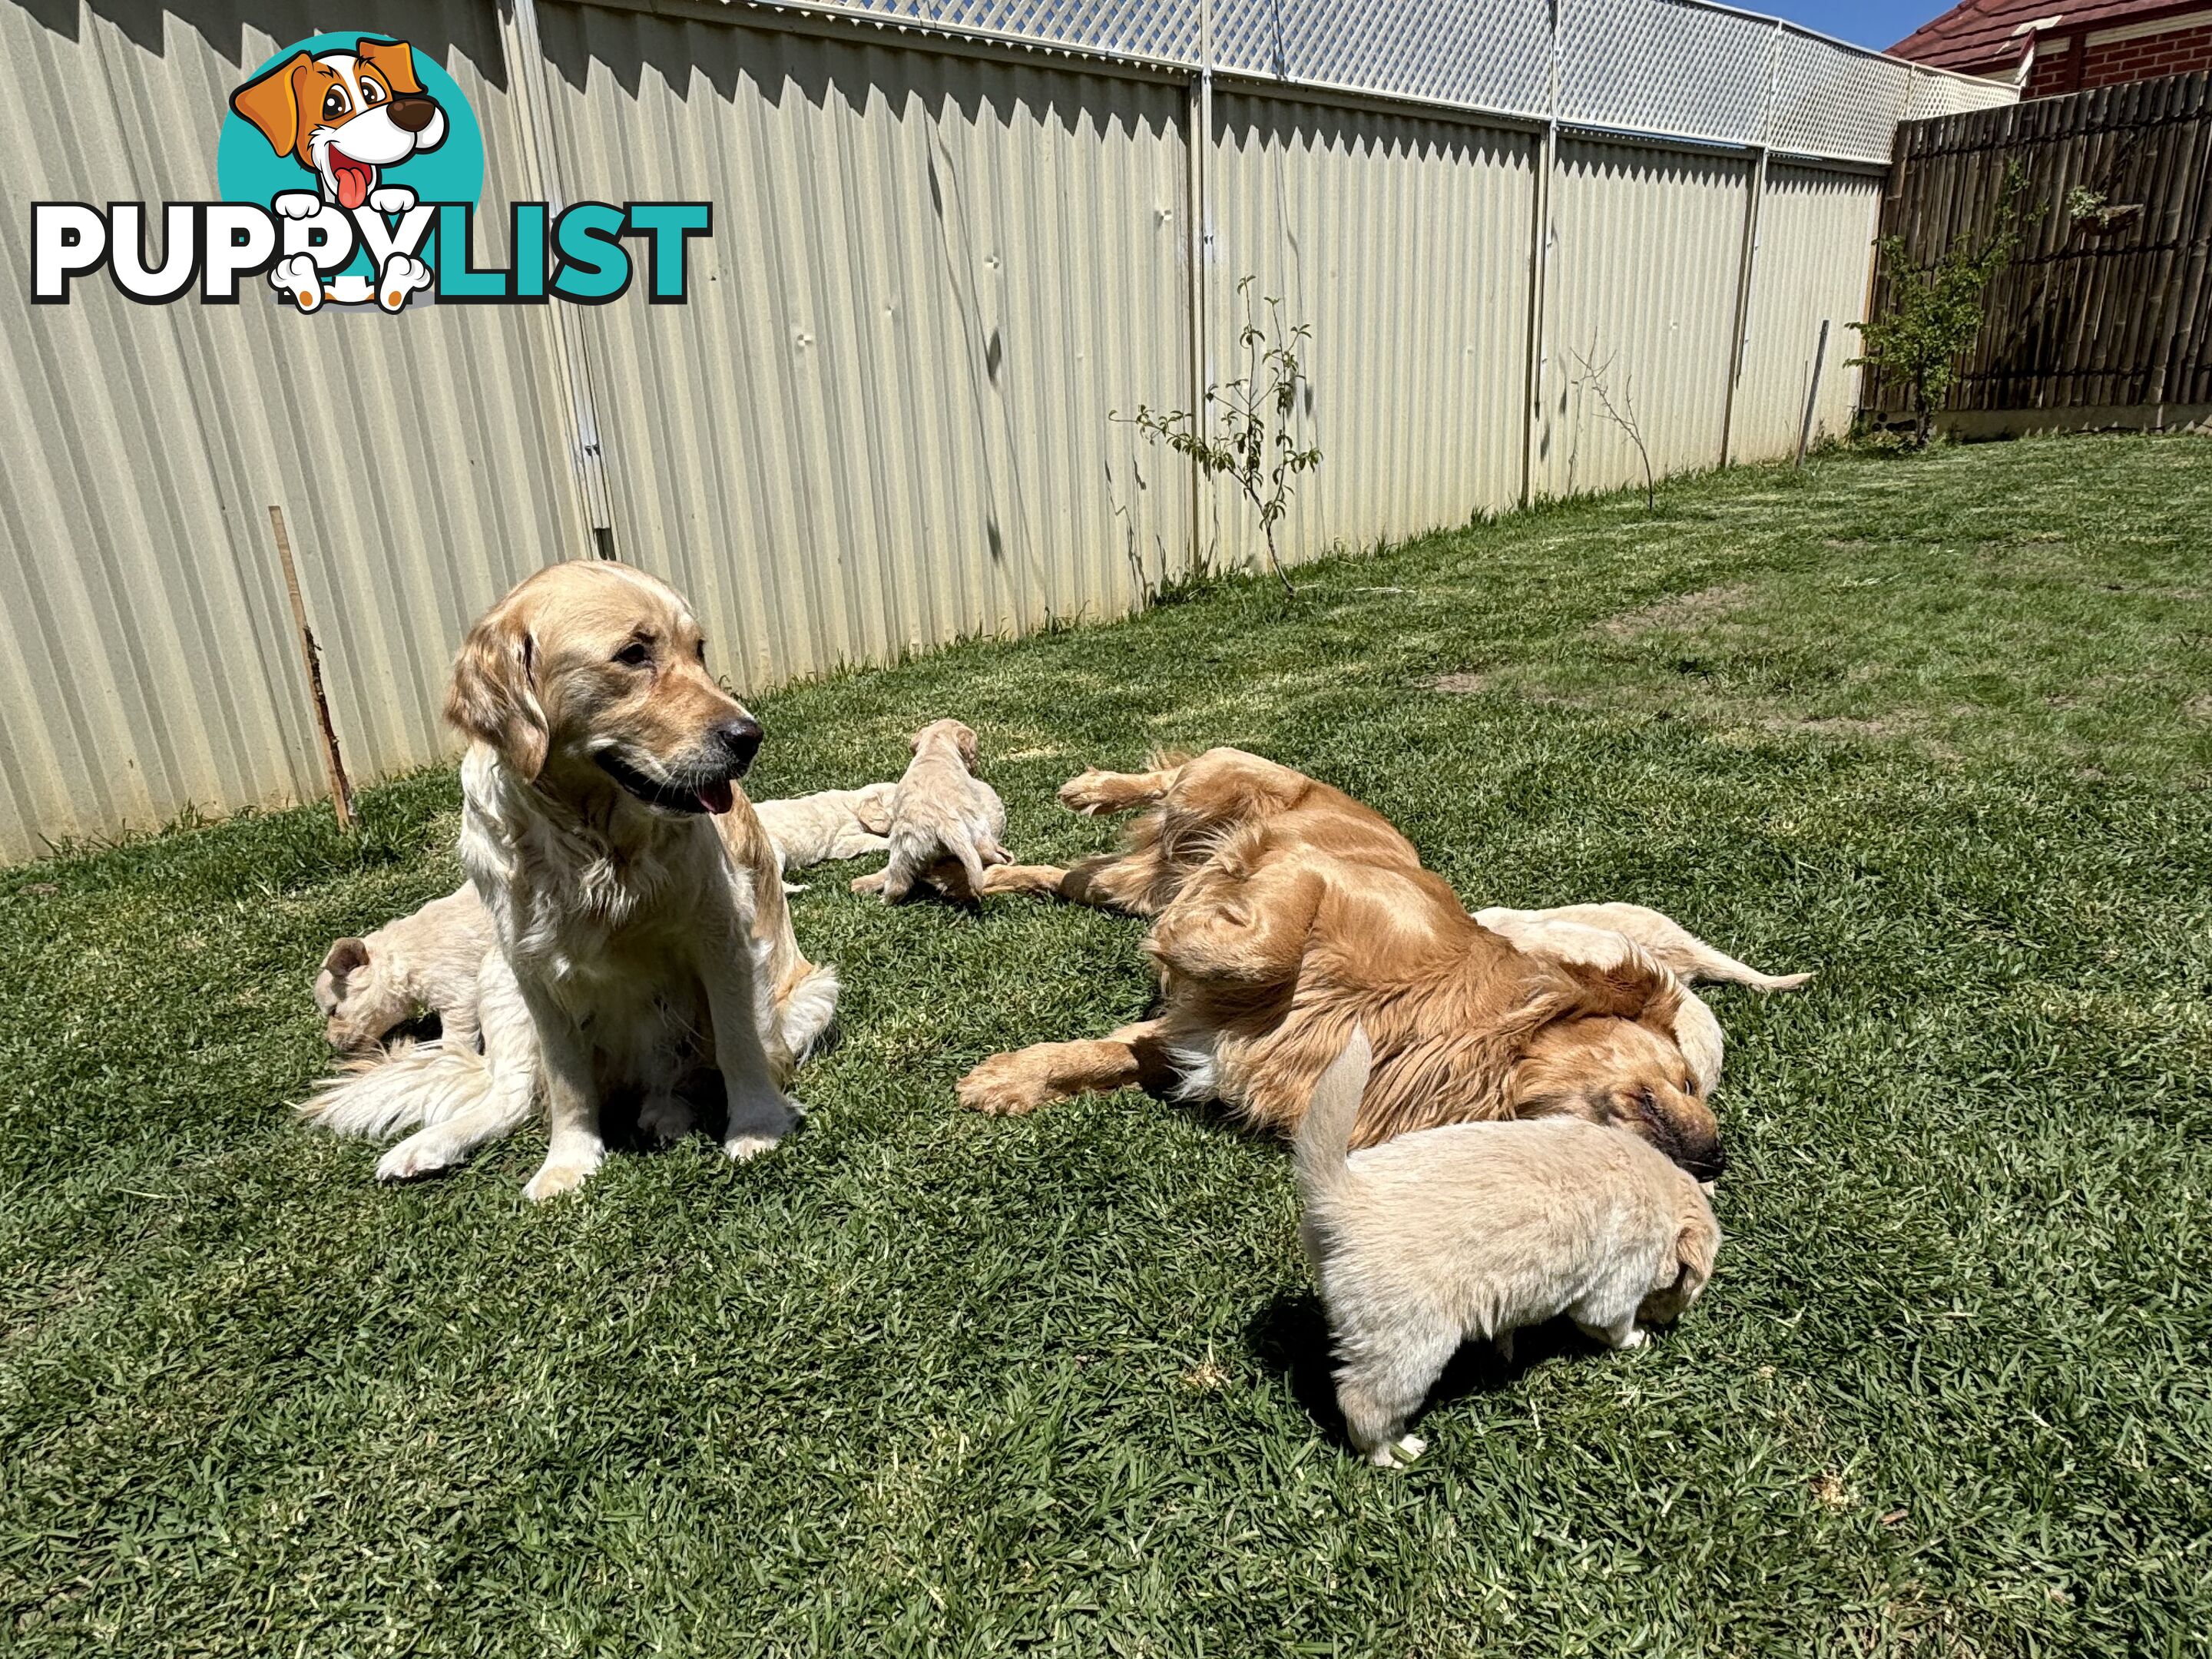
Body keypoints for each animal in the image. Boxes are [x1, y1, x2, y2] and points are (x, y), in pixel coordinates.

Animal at [849, 717, 1013, 902]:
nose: (975, 767)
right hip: (977, 829)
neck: (935, 750)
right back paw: (1004, 857)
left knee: (898, 884)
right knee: (986, 852)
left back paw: (884, 900)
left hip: (904, 851)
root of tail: (944, 823)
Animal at [955, 752, 1725, 1185]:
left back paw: (991, 880)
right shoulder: (1309, 874)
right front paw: (1180, 932)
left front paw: (1014, 1079)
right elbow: (1256, 944)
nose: (1716, 1160)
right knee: (1174, 777)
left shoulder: (1200, 1042)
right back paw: (1095, 790)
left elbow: (1113, 1051)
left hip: (1114, 886)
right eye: (1689, 1081)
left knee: (1072, 875)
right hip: (1222, 781)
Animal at [1291, 1035, 1725, 1477]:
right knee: (1365, 1403)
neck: (1661, 1192)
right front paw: (1637, 1338)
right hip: (1408, 1341)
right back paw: (1393, 1453)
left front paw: (1502, 1351)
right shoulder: (1617, 1284)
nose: (1669, 1325)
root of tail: (1343, 1196)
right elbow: (1612, 1323)